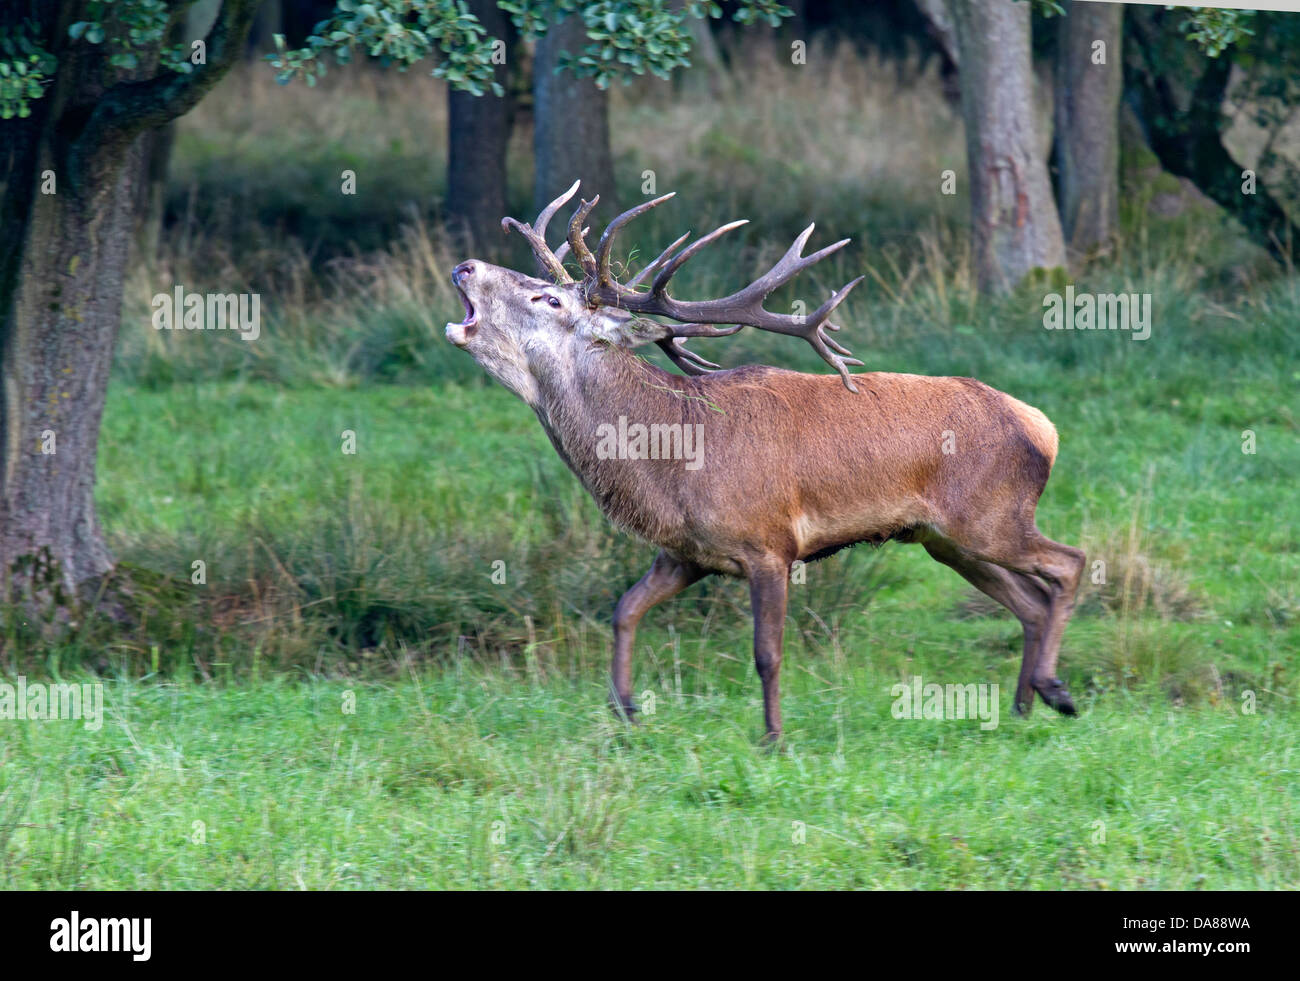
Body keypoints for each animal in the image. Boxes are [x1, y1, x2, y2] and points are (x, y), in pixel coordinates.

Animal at [445, 181, 1085, 742]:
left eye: (547, 298)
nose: (466, 266)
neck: (672, 462)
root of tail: (1044, 427)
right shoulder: (686, 552)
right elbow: (624, 609)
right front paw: (625, 708)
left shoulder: (770, 543)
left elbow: (767, 653)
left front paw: (773, 737)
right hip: (945, 539)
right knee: (1030, 604)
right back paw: (1022, 706)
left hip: (990, 516)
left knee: (1069, 563)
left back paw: (1056, 690)